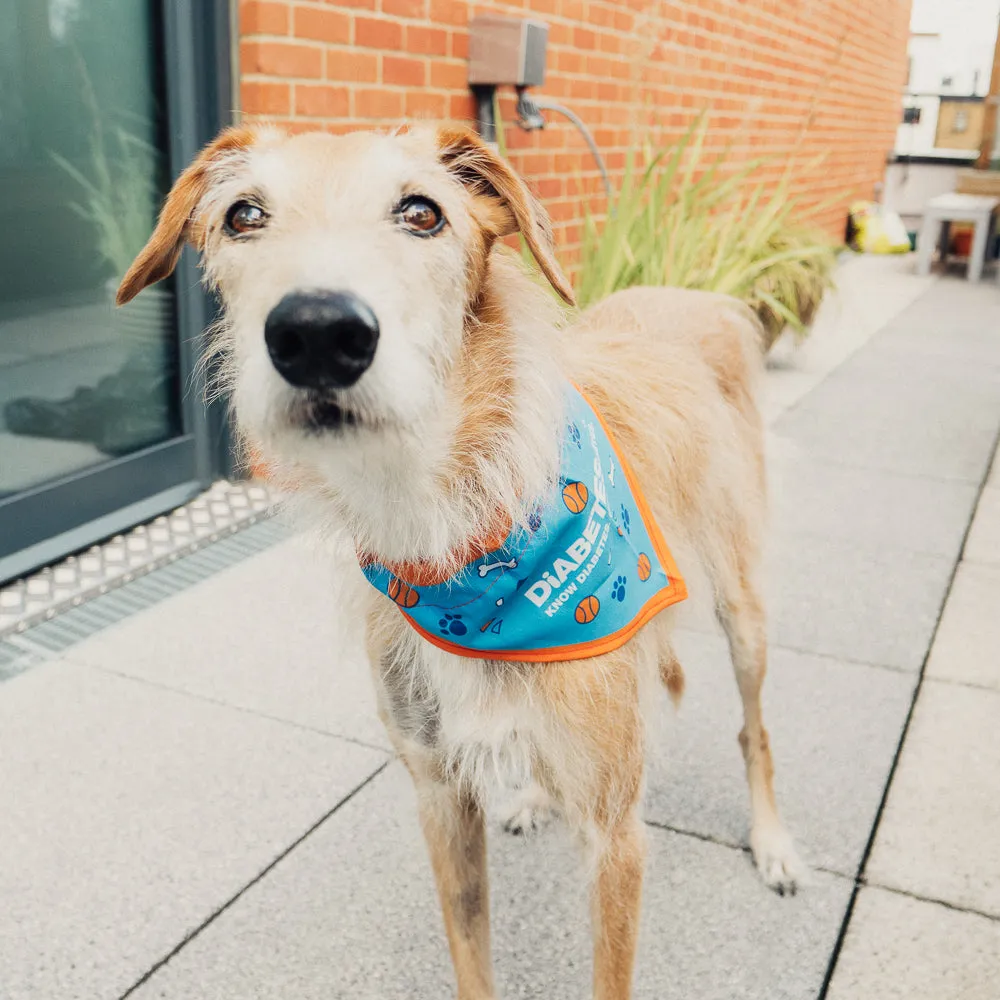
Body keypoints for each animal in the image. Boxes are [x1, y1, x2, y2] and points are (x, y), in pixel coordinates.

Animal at [119, 123, 804, 1000]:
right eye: (244, 214)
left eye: (422, 212)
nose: (316, 333)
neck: (457, 531)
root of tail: (698, 296)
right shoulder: (439, 797)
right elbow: (471, 956)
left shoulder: (617, 837)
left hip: (742, 608)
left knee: (757, 728)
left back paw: (772, 842)